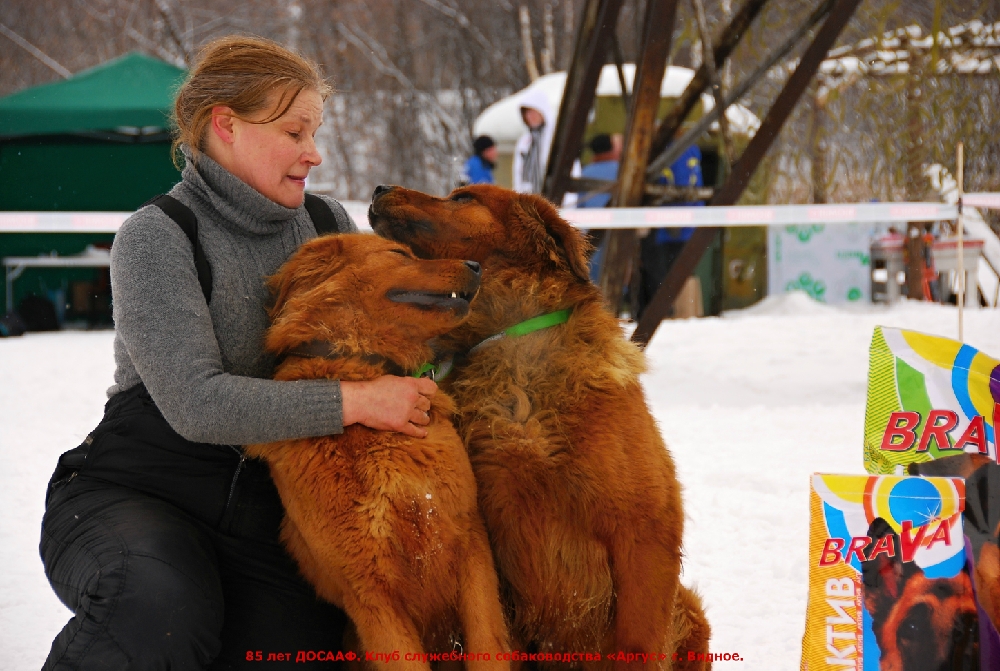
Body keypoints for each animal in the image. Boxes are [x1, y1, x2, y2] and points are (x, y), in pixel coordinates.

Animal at [370, 185, 712, 671]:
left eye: (462, 198)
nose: (380, 188)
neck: (513, 343)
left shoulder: (646, 533)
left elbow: (638, 639)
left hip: (691, 610)